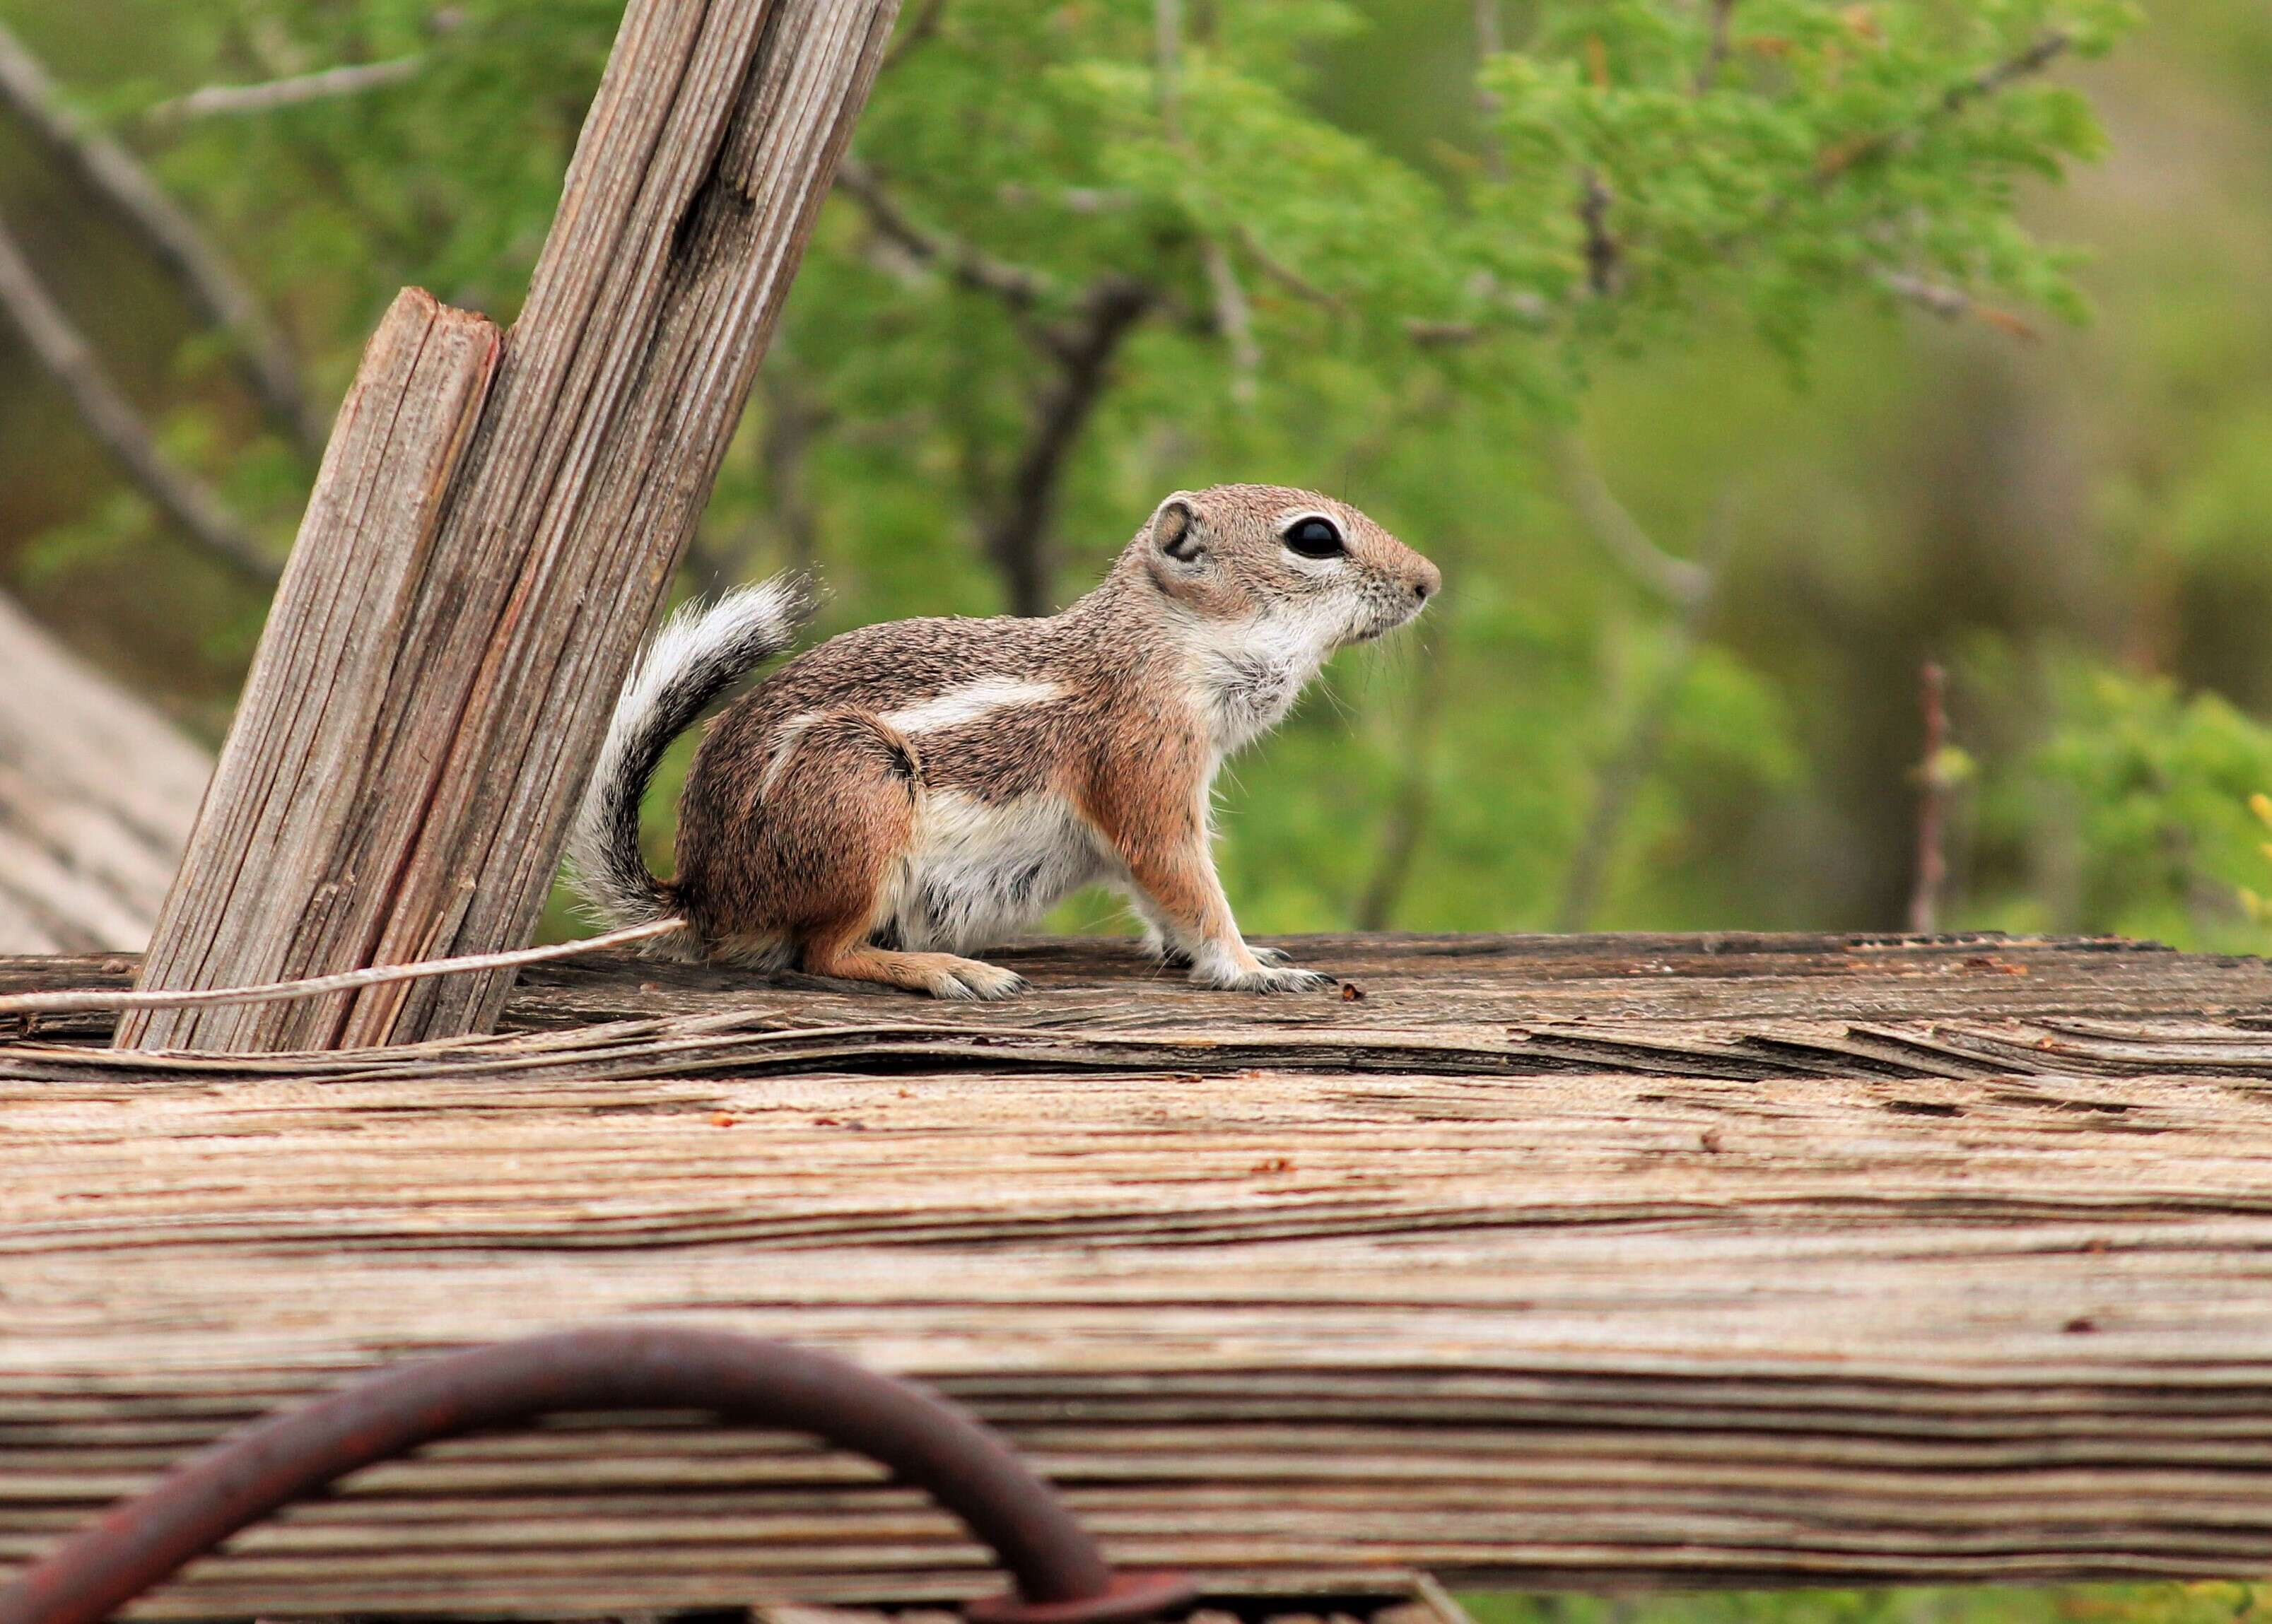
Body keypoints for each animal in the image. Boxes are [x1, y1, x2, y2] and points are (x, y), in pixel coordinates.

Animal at [577, 483, 1445, 999]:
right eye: (1314, 539)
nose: (1429, 581)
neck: (1160, 645)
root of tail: (706, 896)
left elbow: (1158, 897)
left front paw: (1235, 956)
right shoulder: (1144, 768)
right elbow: (1185, 881)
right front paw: (1248, 968)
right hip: (858, 785)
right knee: (826, 952)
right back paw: (949, 969)